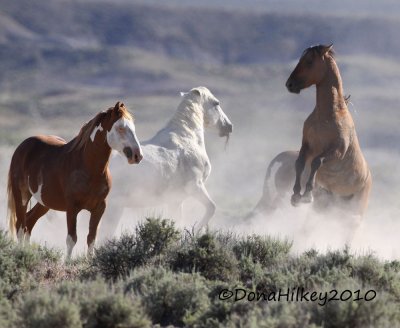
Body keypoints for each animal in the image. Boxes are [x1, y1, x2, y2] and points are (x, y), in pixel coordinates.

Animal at [7, 101, 142, 258]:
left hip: (45, 202)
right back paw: (21, 253)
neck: (88, 167)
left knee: (29, 222)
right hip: (22, 195)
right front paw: (68, 261)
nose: (137, 155)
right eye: (120, 128)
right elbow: (72, 239)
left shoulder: (99, 208)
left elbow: (91, 238)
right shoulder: (72, 208)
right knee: (20, 226)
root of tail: (22, 146)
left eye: (133, 127)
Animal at [98, 86, 233, 240]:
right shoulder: (195, 186)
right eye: (216, 103)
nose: (229, 126)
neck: (187, 138)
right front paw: (193, 234)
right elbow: (211, 208)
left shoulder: (175, 200)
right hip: (115, 208)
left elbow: (176, 221)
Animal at [286, 43, 370, 222]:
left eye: (309, 61)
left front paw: (307, 194)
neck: (327, 116)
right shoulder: (307, 145)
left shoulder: (337, 150)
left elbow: (317, 162)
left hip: (355, 215)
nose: (289, 84)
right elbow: (300, 163)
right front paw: (296, 195)